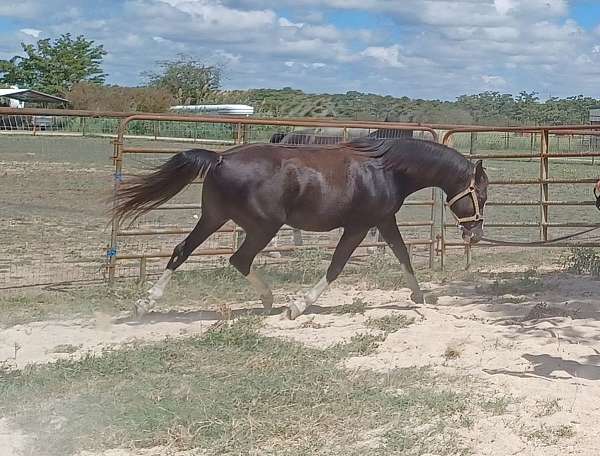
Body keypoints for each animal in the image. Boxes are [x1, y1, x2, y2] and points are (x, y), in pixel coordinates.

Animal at [112, 137, 488, 318]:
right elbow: (336, 267)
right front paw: (298, 306)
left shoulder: (384, 221)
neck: (385, 169)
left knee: (182, 251)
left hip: (213, 218)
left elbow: (403, 255)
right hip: (263, 227)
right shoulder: (358, 227)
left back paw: (144, 304)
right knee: (238, 259)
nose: (476, 234)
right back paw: (270, 300)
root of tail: (220, 158)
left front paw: (420, 296)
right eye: (482, 194)